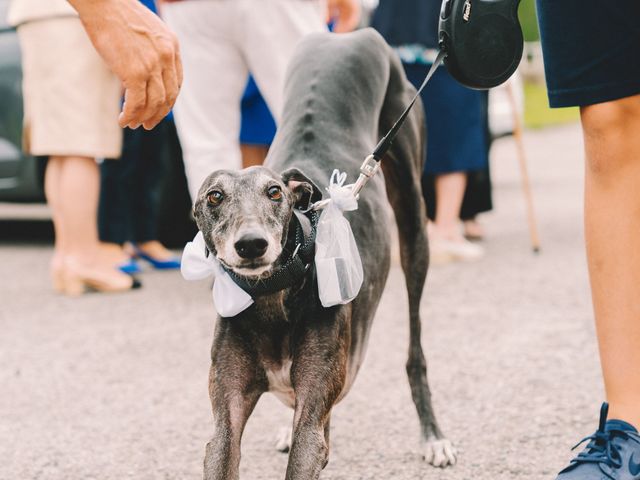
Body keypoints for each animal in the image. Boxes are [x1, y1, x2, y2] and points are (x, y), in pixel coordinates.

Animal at [192, 28, 458, 478]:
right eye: (214, 196)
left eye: (274, 192)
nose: (252, 244)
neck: (273, 295)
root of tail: (349, 35)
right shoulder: (225, 415)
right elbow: (224, 444)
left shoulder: (315, 407)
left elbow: (308, 442)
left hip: (413, 220)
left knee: (415, 349)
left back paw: (434, 437)